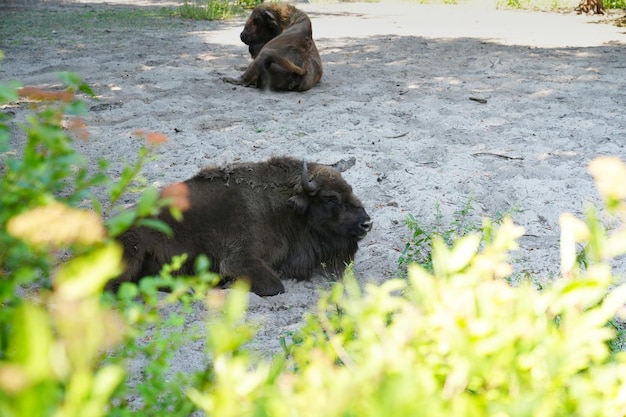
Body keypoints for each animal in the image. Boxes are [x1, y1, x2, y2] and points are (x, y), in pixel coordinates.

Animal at [108, 156, 370, 296]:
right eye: (329, 198)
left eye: (350, 189)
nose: (367, 223)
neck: (281, 208)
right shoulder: (239, 260)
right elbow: (275, 286)